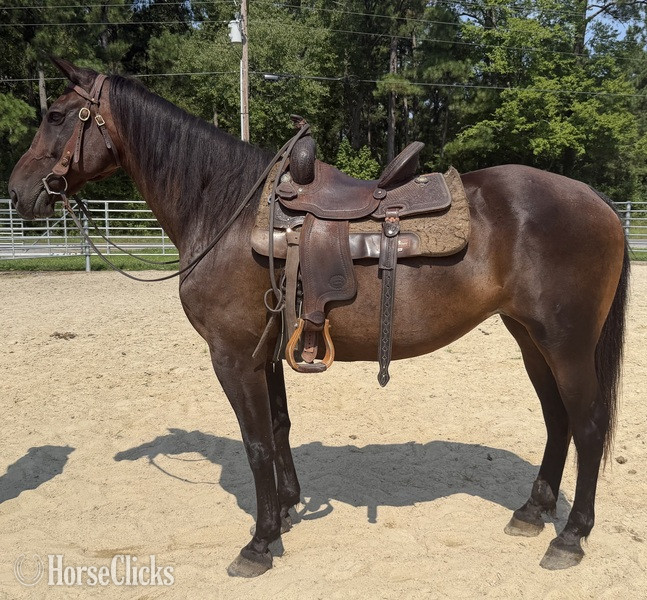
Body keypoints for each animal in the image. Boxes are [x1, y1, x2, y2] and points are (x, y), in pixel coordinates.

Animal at [8, 58, 629, 577]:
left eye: (57, 115)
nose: (17, 192)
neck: (225, 210)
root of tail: (597, 200)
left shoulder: (231, 354)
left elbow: (256, 442)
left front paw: (259, 544)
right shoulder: (264, 351)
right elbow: (279, 427)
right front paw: (285, 512)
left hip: (566, 344)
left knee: (589, 425)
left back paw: (570, 537)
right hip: (530, 340)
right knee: (558, 421)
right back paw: (532, 512)